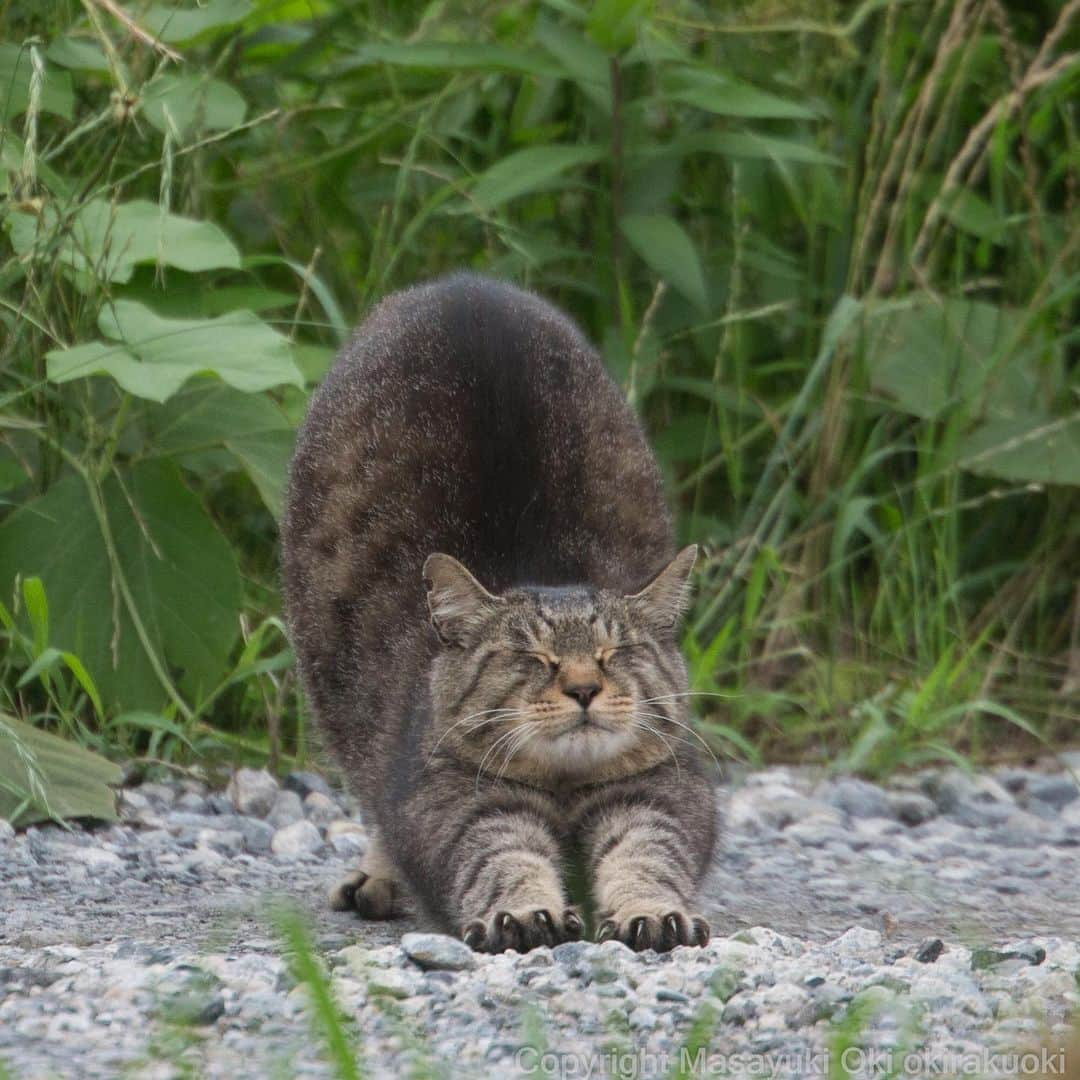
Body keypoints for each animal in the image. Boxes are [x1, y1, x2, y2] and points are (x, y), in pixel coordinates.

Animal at [278, 272, 717, 954]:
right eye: (531, 655)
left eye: (613, 653)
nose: (585, 688)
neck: (563, 786)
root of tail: (464, 285)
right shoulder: (456, 800)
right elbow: (501, 855)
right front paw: (524, 911)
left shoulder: (662, 789)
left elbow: (646, 853)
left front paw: (652, 911)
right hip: (334, 689)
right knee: (376, 801)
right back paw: (378, 875)